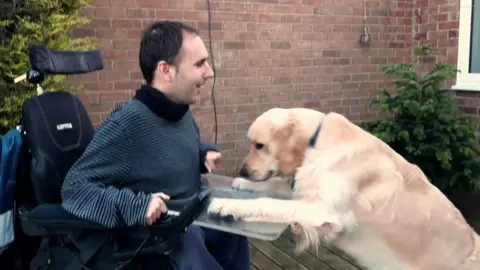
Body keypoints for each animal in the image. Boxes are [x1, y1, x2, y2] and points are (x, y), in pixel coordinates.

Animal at [207, 107, 480, 270]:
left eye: (260, 145)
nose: (243, 171)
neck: (316, 140)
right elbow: (274, 186)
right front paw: (242, 184)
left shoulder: (321, 210)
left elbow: (267, 202)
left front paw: (227, 203)